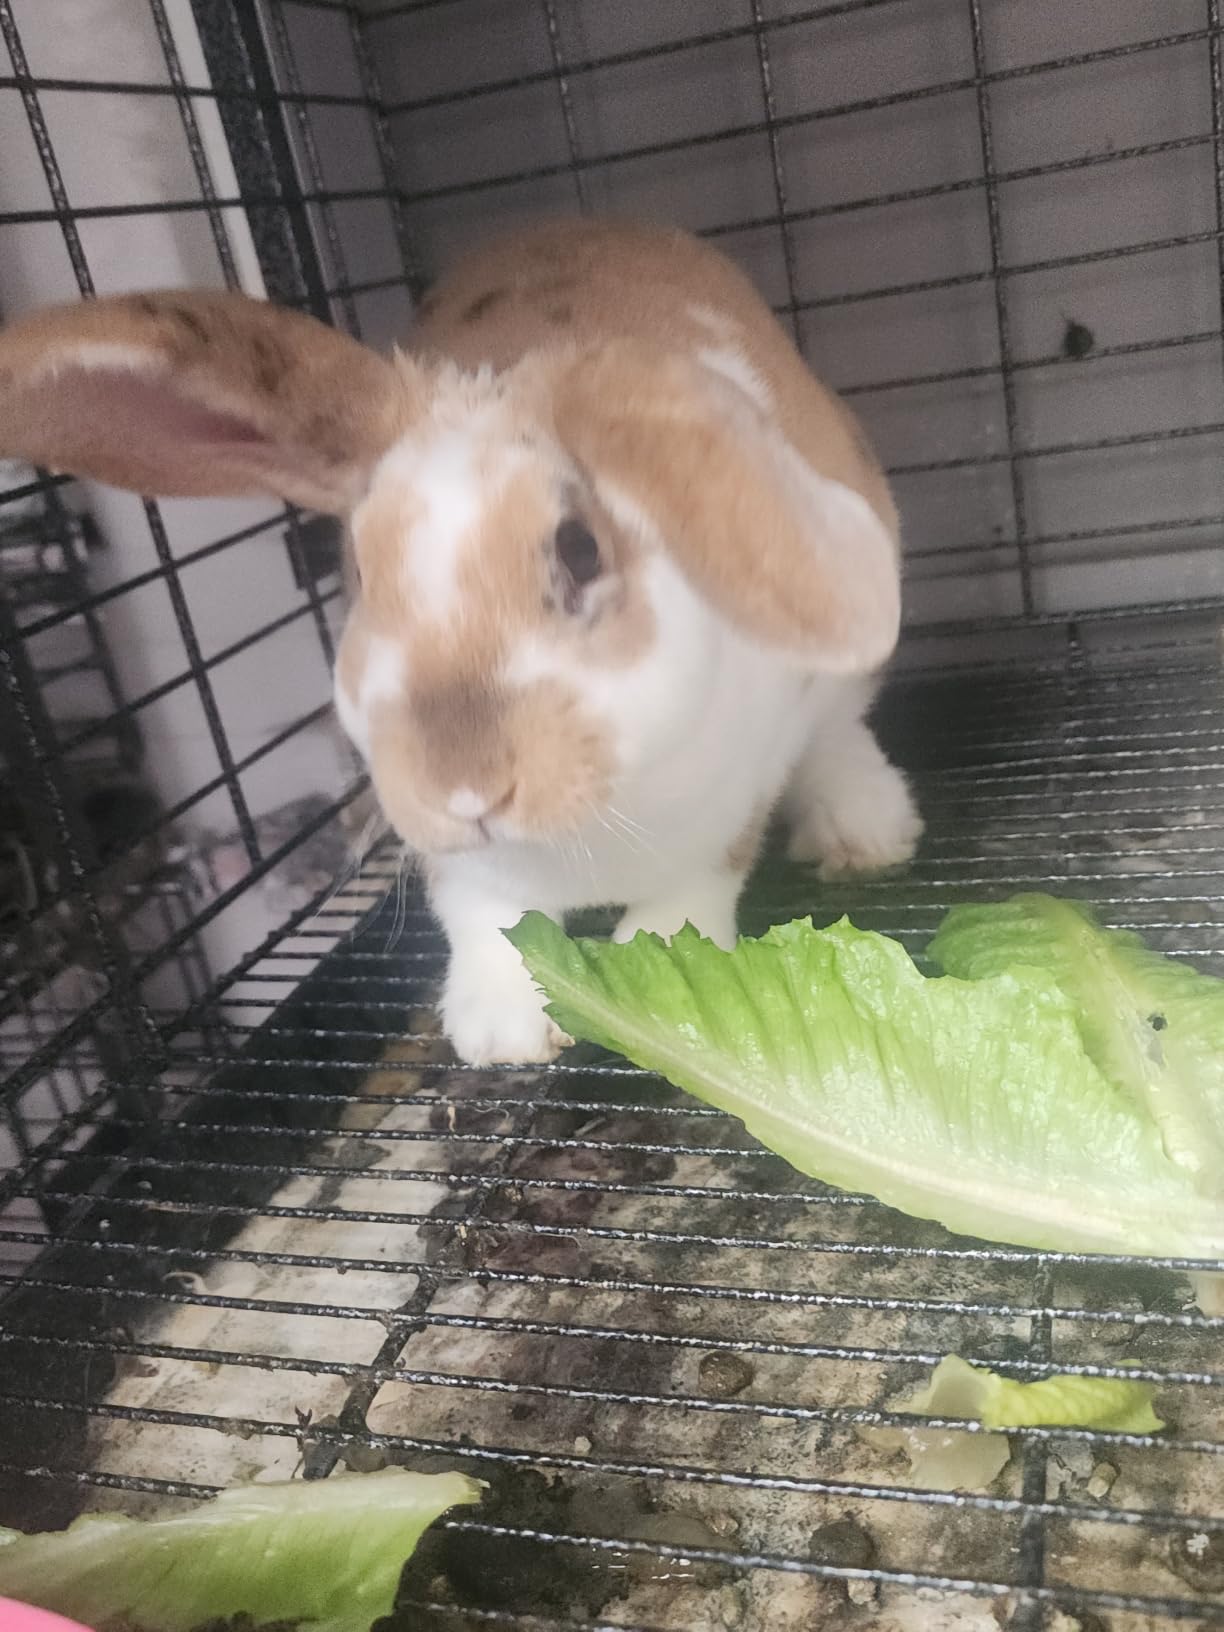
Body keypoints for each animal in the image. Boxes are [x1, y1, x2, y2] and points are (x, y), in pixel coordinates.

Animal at [0, 217, 922, 1066]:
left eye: (580, 550)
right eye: (357, 570)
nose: (465, 791)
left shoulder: (737, 800)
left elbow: (691, 896)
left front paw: (665, 991)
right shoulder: (458, 865)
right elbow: (487, 917)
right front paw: (504, 1032)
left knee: (841, 739)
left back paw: (866, 833)